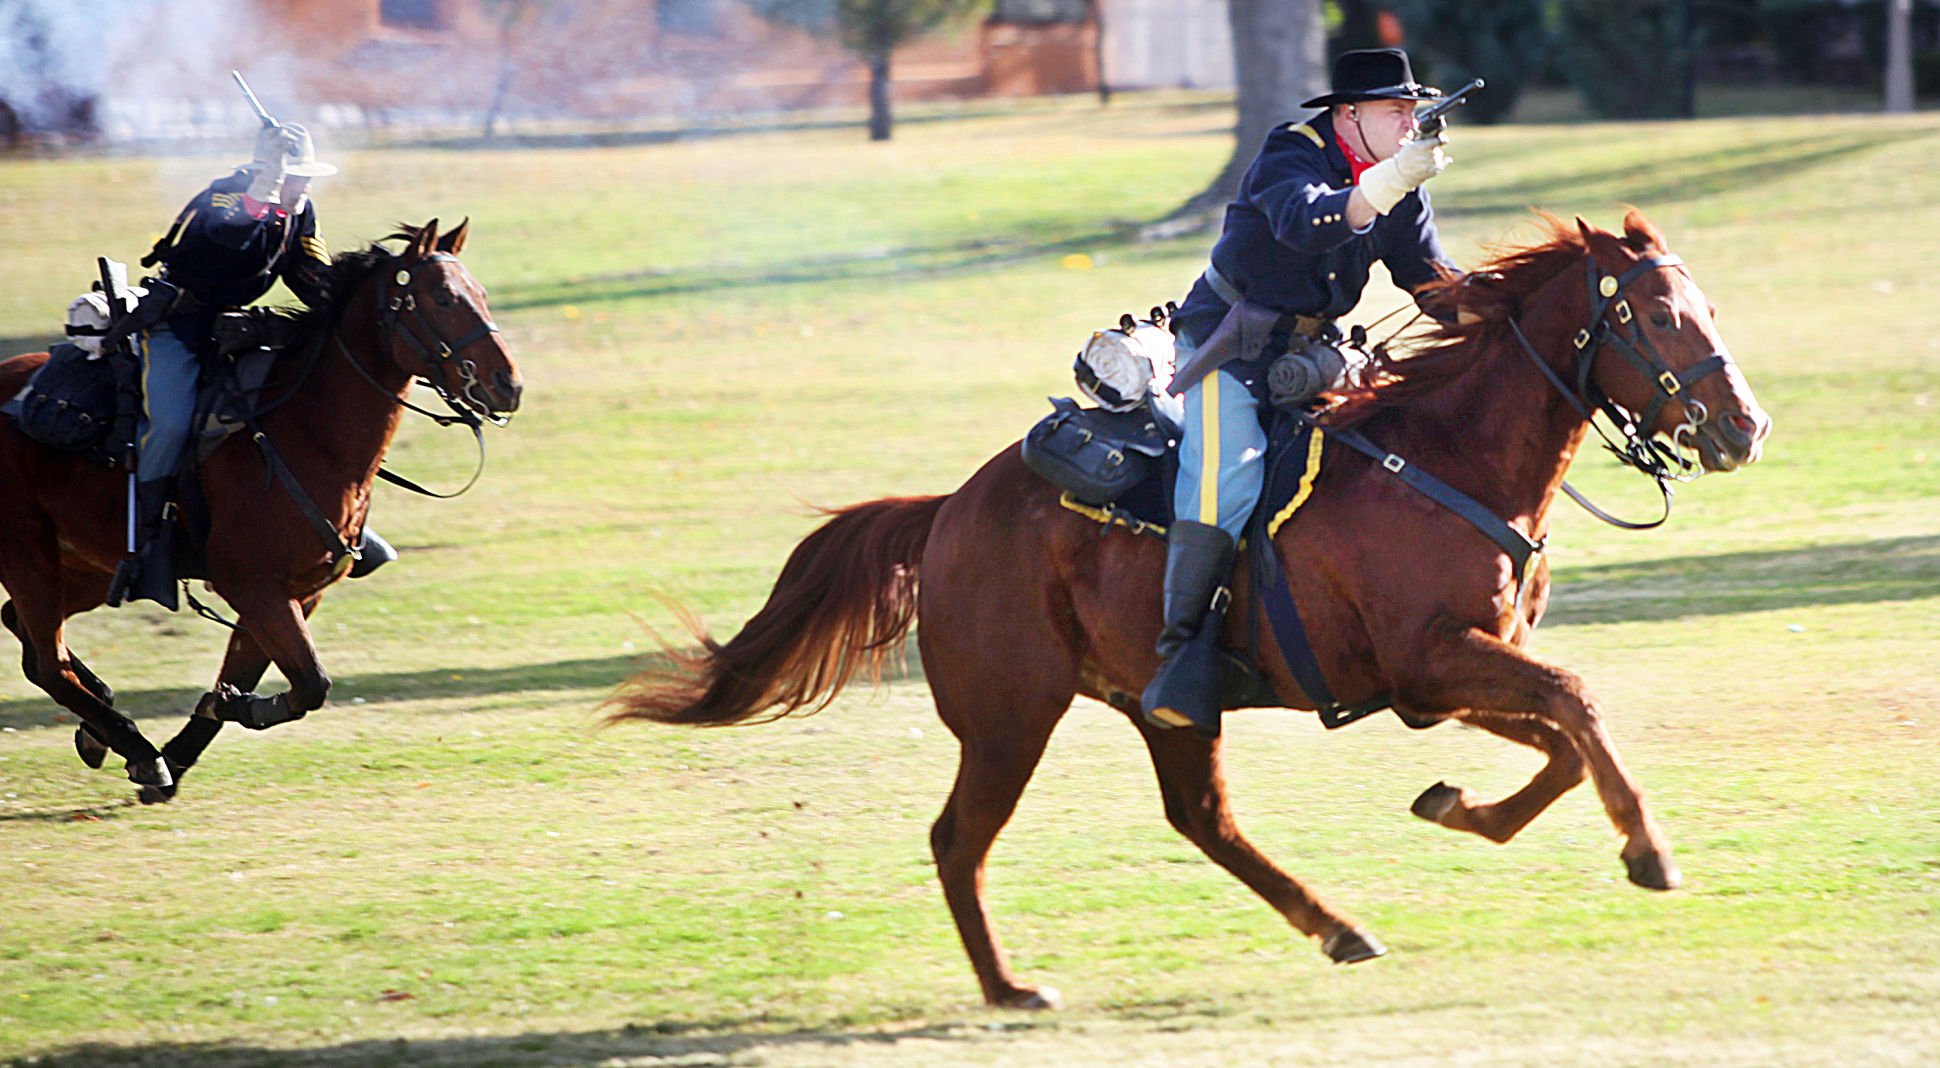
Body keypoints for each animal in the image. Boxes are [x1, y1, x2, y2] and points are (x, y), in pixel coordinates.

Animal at [0, 219, 523, 802]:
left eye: (479, 294)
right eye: (442, 298)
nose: (507, 385)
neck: (307, 433)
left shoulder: (295, 593)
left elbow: (262, 676)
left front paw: (198, 731)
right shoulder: (254, 587)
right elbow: (311, 683)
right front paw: (217, 719)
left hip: (84, 566)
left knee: (27, 637)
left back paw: (104, 729)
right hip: (28, 556)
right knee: (49, 663)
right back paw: (132, 743)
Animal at [616, 211, 1777, 1007]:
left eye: (1712, 310)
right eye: (1658, 315)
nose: (1743, 428)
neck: (1447, 457)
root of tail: (948, 511)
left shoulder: (1438, 680)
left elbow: (1560, 743)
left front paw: (1457, 806)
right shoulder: (1436, 660)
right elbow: (1576, 707)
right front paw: (1646, 851)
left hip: (1162, 707)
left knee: (1199, 818)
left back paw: (1336, 928)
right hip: (1009, 717)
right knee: (959, 839)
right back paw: (1009, 988)